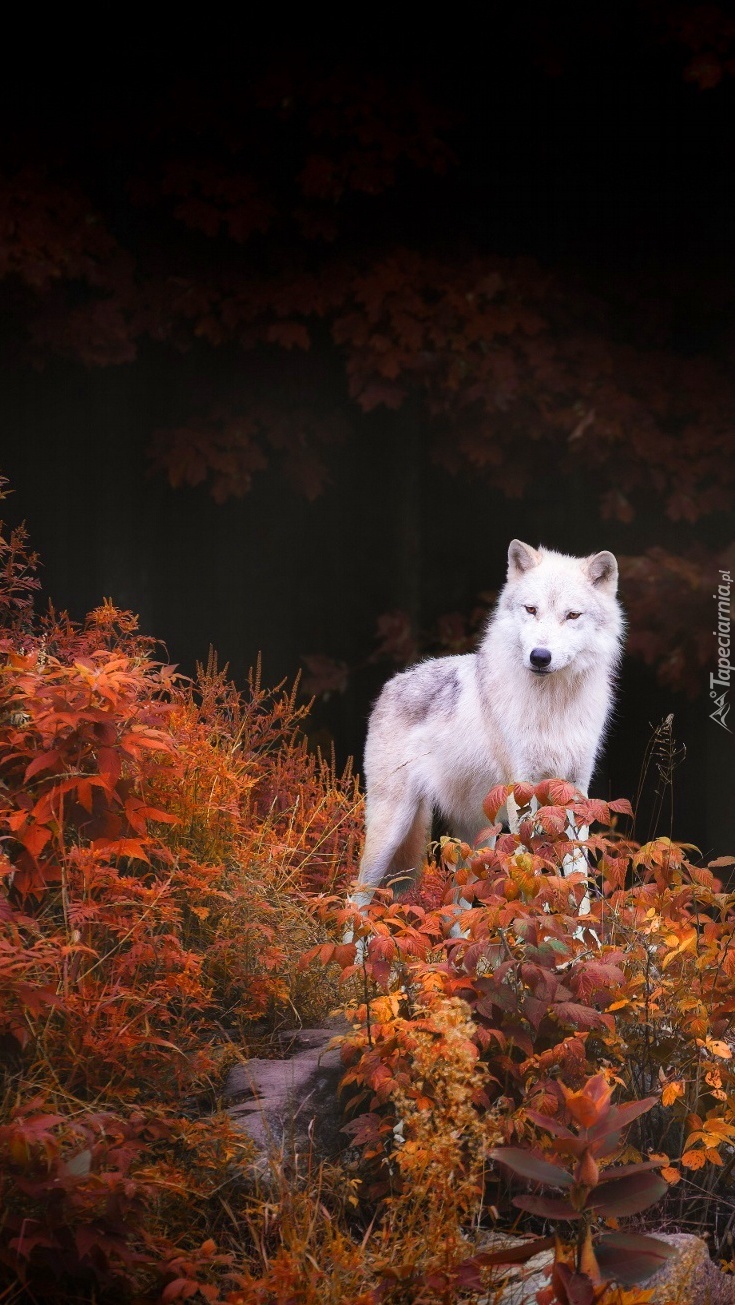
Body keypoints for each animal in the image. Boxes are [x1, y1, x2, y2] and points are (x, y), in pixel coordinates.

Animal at [349, 535, 621, 913]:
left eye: (572, 615)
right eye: (531, 610)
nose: (540, 657)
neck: (551, 707)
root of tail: (391, 684)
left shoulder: (576, 792)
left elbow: (576, 872)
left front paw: (580, 929)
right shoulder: (522, 791)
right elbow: (531, 869)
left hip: (477, 840)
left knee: (457, 910)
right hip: (392, 829)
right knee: (355, 899)